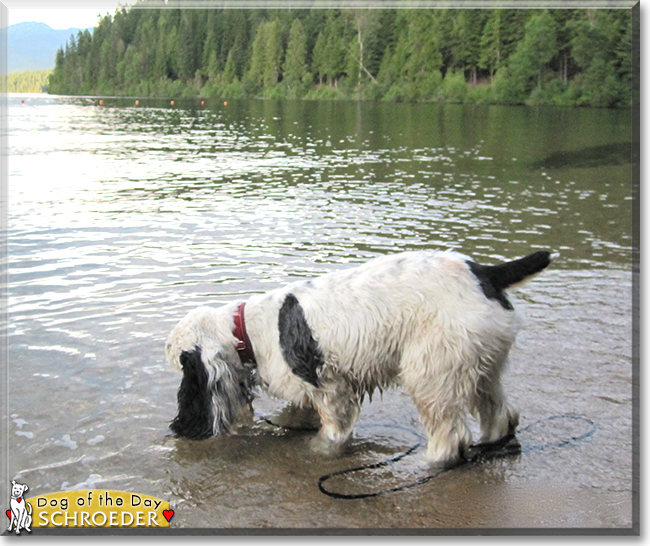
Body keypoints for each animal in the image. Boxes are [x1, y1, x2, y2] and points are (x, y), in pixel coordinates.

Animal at [166, 249, 552, 466]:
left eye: (183, 365)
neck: (246, 328)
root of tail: (486, 272)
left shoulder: (331, 388)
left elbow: (333, 429)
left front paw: (318, 451)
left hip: (431, 370)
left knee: (450, 435)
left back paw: (424, 464)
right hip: (481, 363)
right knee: (499, 413)